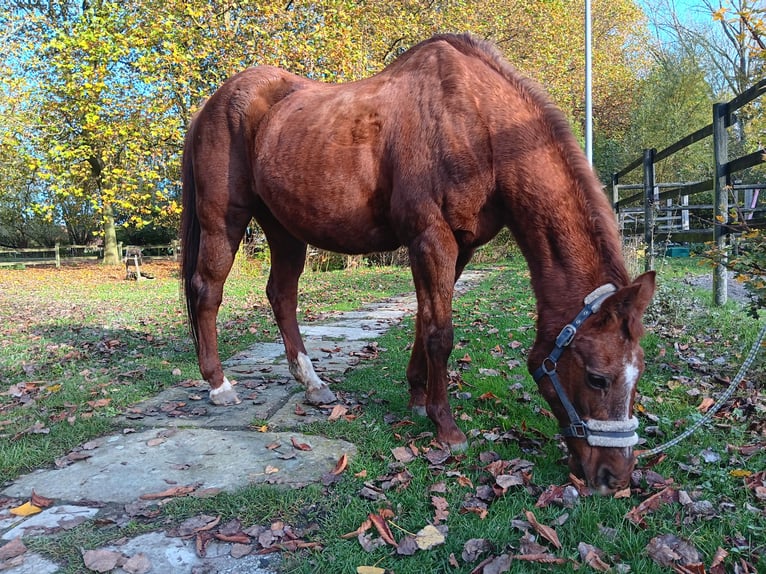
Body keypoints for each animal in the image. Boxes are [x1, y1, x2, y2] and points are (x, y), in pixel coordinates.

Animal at [180, 33, 656, 496]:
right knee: (207, 291)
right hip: (225, 220)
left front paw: (416, 397)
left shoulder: (459, 247)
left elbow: (424, 322)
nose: (615, 478)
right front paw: (446, 427)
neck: (477, 124)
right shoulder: (431, 238)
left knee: (281, 295)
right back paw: (219, 386)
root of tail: (209, 105)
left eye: (638, 376)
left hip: (284, 230)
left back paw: (312, 384)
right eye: (598, 378)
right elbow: (440, 334)